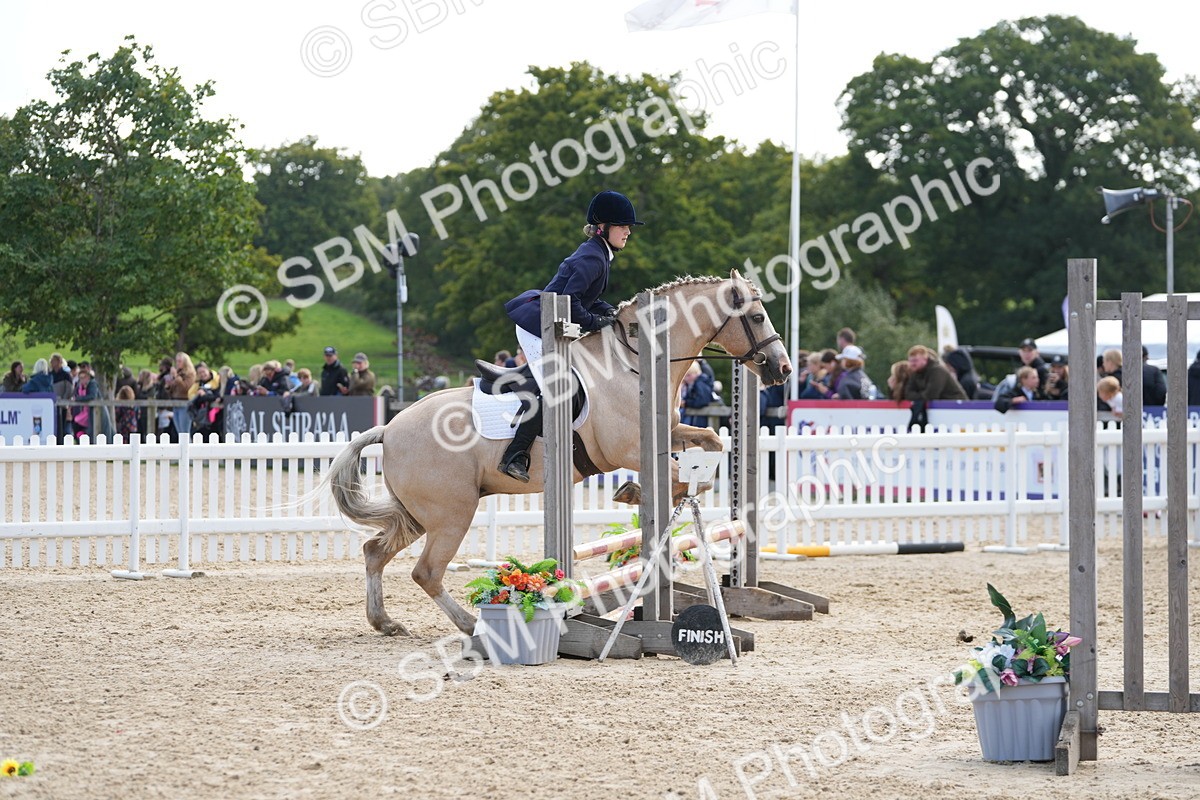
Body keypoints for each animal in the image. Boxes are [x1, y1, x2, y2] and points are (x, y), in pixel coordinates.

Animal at [325, 269, 792, 636]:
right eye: (756, 317)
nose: (783, 369)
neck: (632, 361)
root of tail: (390, 427)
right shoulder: (629, 449)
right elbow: (670, 474)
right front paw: (635, 493)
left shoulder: (672, 430)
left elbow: (712, 443)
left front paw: (666, 490)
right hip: (450, 513)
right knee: (426, 572)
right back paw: (471, 624)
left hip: (419, 515)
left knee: (374, 553)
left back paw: (384, 622)